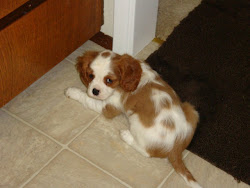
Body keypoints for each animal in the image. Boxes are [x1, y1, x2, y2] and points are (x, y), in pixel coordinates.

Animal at [65, 50, 201, 188]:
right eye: (91, 75)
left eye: (109, 80)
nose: (95, 91)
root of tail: (177, 147)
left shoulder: (108, 107)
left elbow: (87, 99)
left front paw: (72, 92)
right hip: (192, 110)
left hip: (136, 120)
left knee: (145, 151)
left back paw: (126, 135)